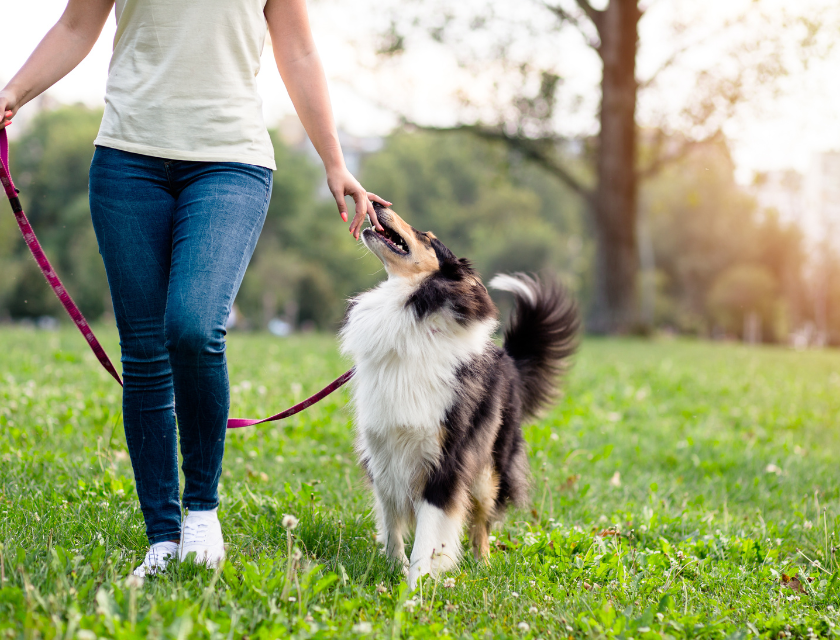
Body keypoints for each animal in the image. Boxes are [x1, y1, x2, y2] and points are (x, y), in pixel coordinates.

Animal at [340, 202, 576, 588]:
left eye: (428, 237)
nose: (377, 204)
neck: (411, 311)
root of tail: (509, 358)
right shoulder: (383, 452)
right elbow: (392, 524)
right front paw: (394, 568)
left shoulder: (446, 461)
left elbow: (428, 534)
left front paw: (415, 588)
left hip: (487, 470)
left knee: (482, 522)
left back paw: (483, 565)